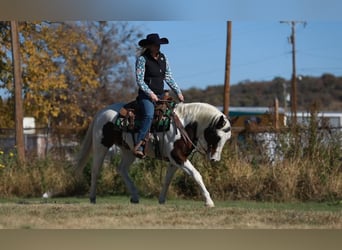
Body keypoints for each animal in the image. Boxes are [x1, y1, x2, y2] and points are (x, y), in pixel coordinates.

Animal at [74, 101, 230, 207]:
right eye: (217, 136)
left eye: (227, 139)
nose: (215, 159)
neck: (183, 126)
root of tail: (102, 111)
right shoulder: (178, 157)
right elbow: (196, 175)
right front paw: (209, 201)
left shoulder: (175, 160)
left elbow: (167, 180)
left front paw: (161, 200)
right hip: (101, 146)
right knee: (95, 170)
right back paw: (92, 198)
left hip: (129, 151)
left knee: (122, 169)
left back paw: (135, 196)